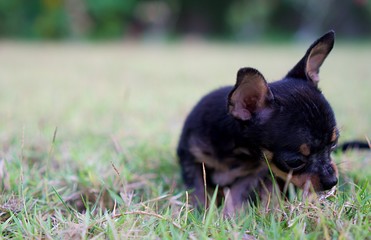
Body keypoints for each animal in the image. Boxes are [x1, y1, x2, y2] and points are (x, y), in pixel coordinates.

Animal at [177, 31, 340, 213]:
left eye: (334, 144)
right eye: (294, 162)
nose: (332, 181)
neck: (237, 152)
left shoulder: (256, 172)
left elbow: (236, 192)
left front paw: (230, 215)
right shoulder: (191, 158)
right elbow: (198, 189)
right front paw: (199, 212)